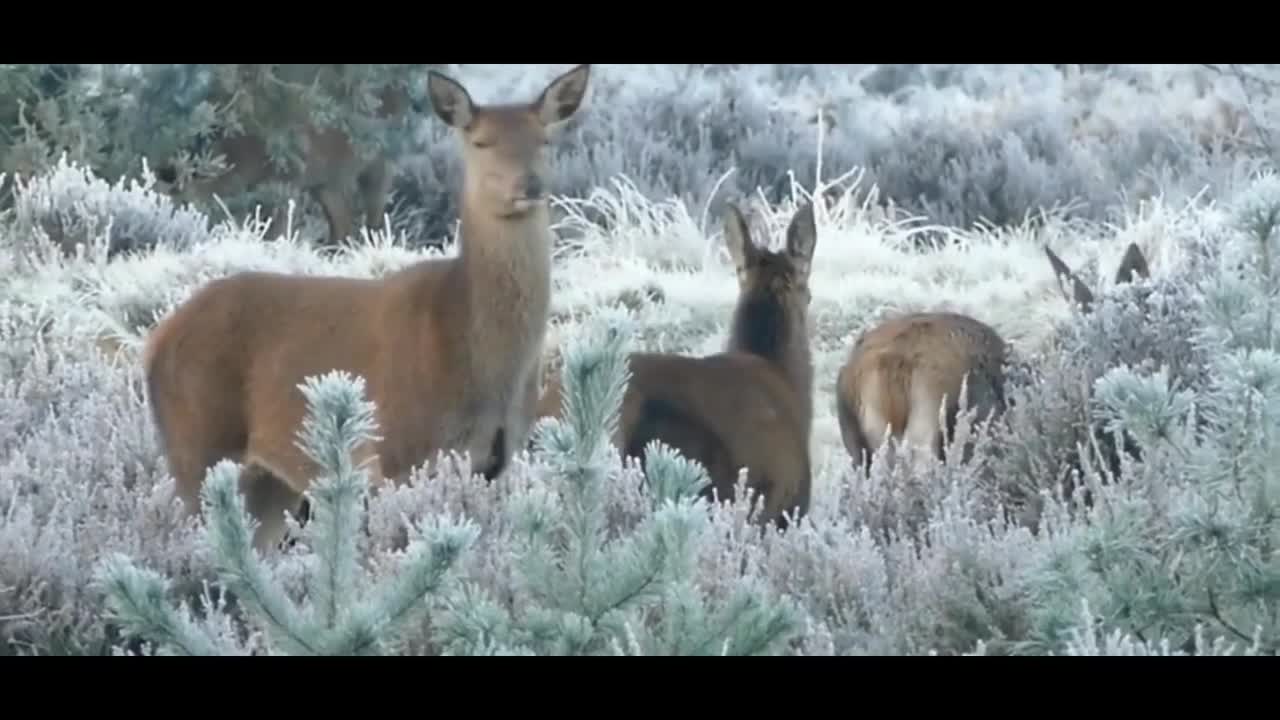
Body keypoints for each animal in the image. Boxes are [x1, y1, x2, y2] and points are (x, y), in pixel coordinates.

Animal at [142, 65, 591, 548]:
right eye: (481, 142)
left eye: (544, 140)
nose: (530, 185)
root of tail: (155, 341)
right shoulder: (398, 450)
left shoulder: (499, 458)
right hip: (196, 443)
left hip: (267, 480)